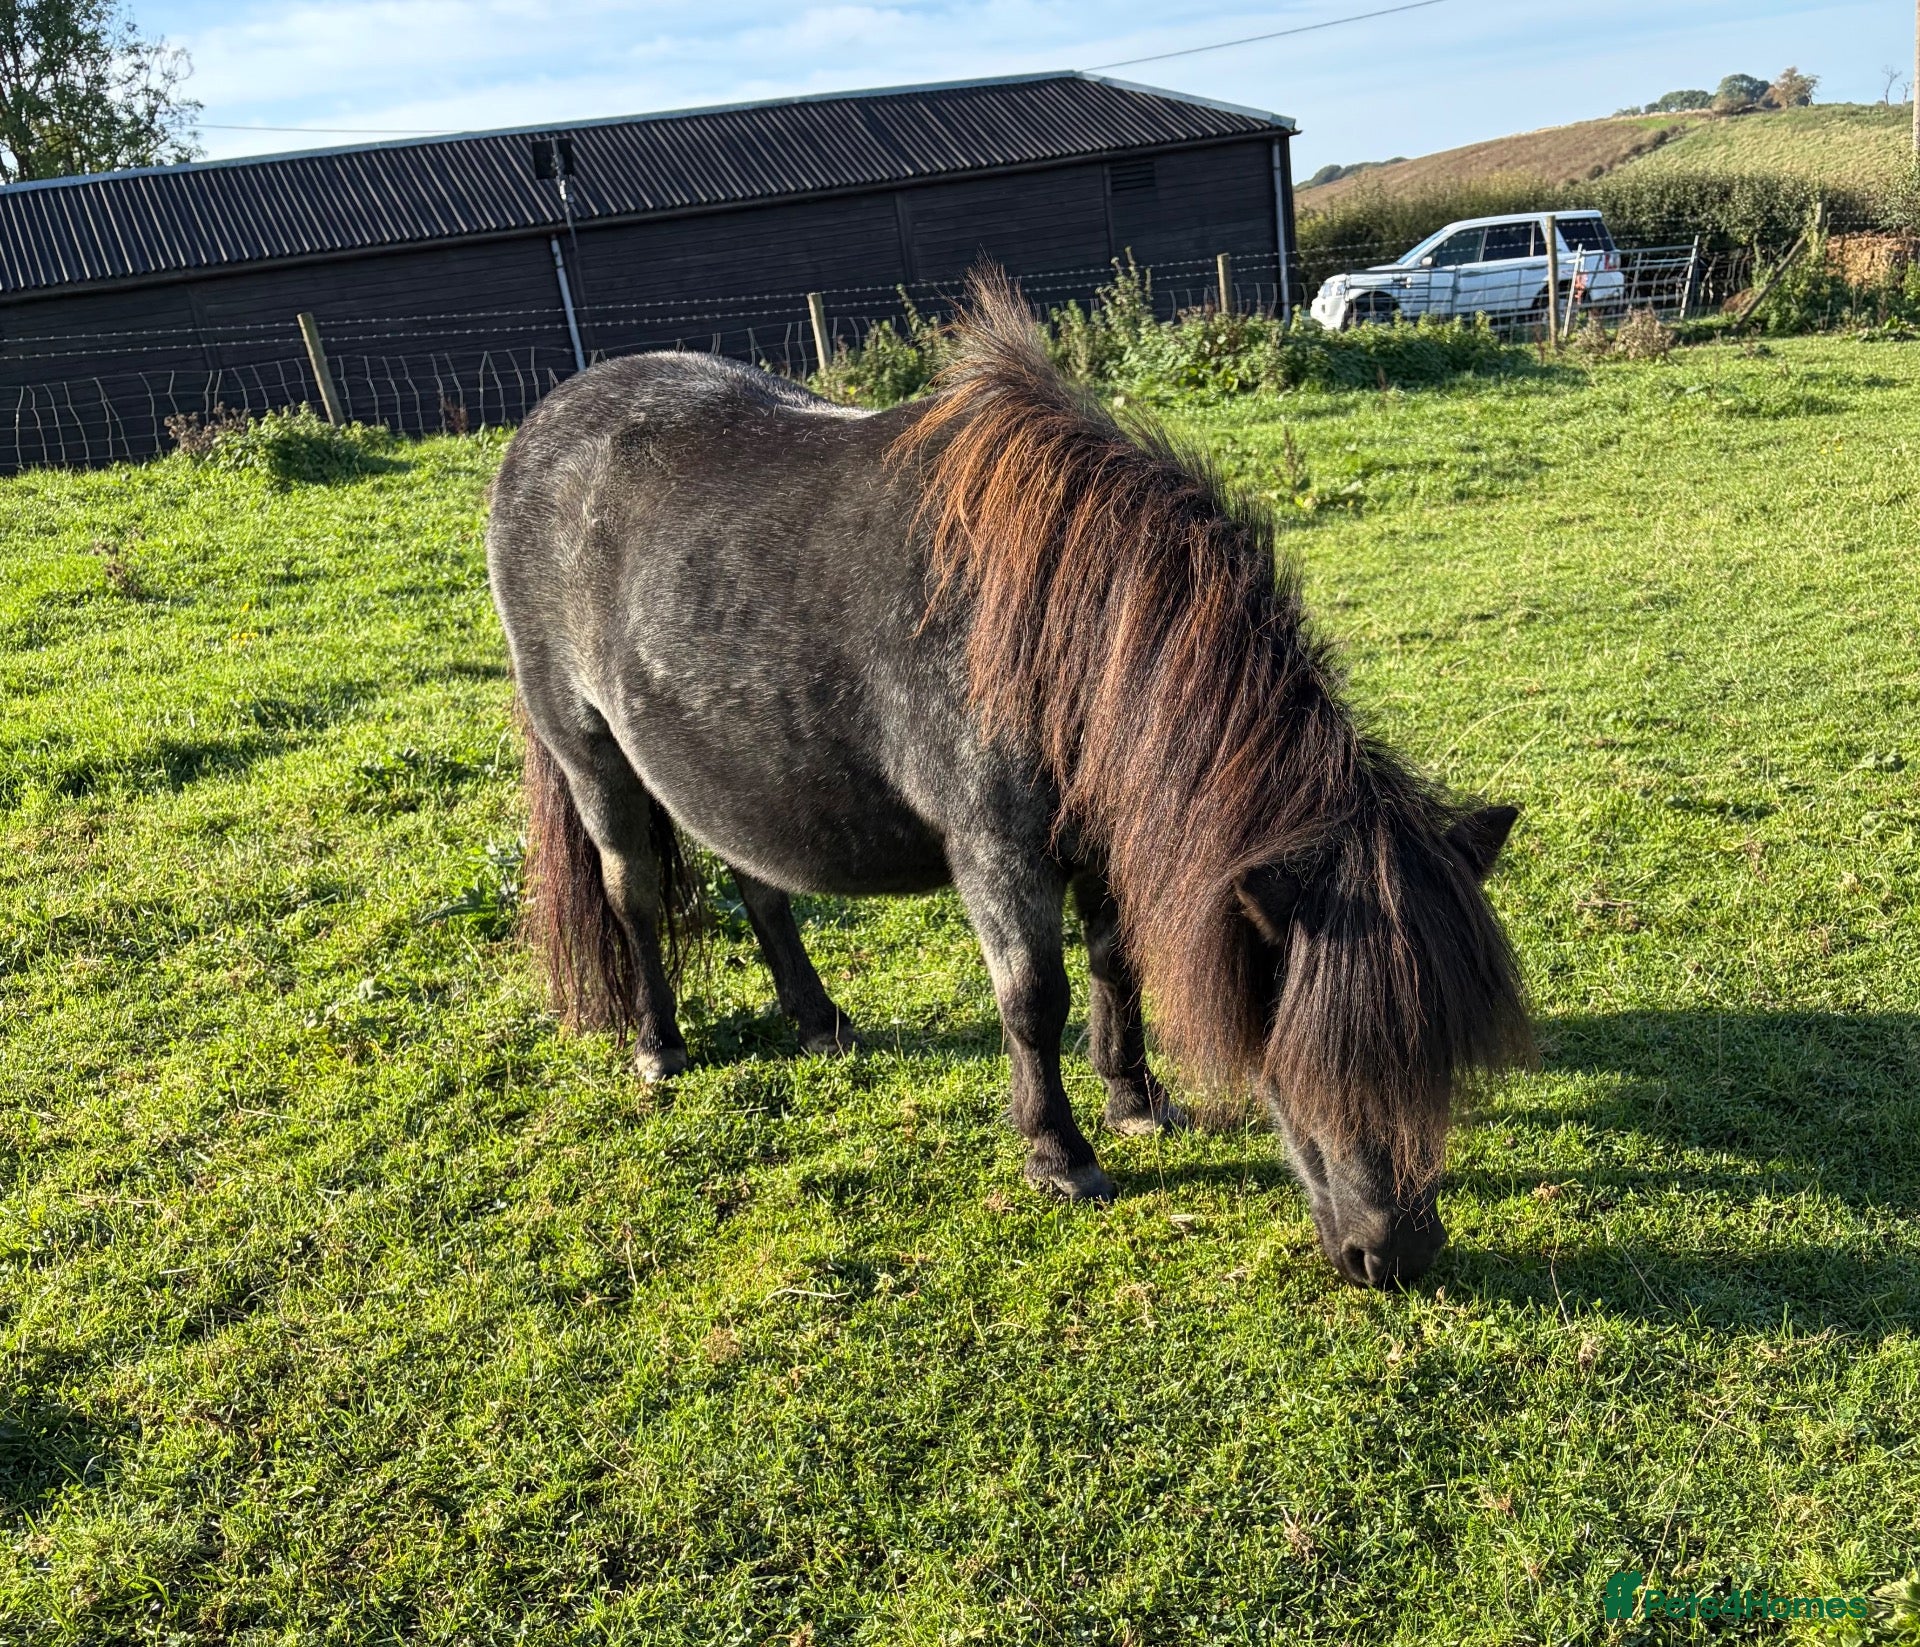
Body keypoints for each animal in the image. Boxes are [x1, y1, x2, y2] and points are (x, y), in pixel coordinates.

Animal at [486, 274, 1532, 1288]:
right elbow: (1035, 997)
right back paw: (658, 1044)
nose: (1396, 1252)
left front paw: (1134, 1098)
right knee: (632, 892)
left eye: (1443, 1054)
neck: (1053, 628)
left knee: (760, 884)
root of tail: (540, 429)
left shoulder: (1106, 837)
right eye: (1314, 1056)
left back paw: (819, 1021)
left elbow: (1116, 963)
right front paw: (1059, 1155)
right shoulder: (998, 855)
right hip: (591, 756)